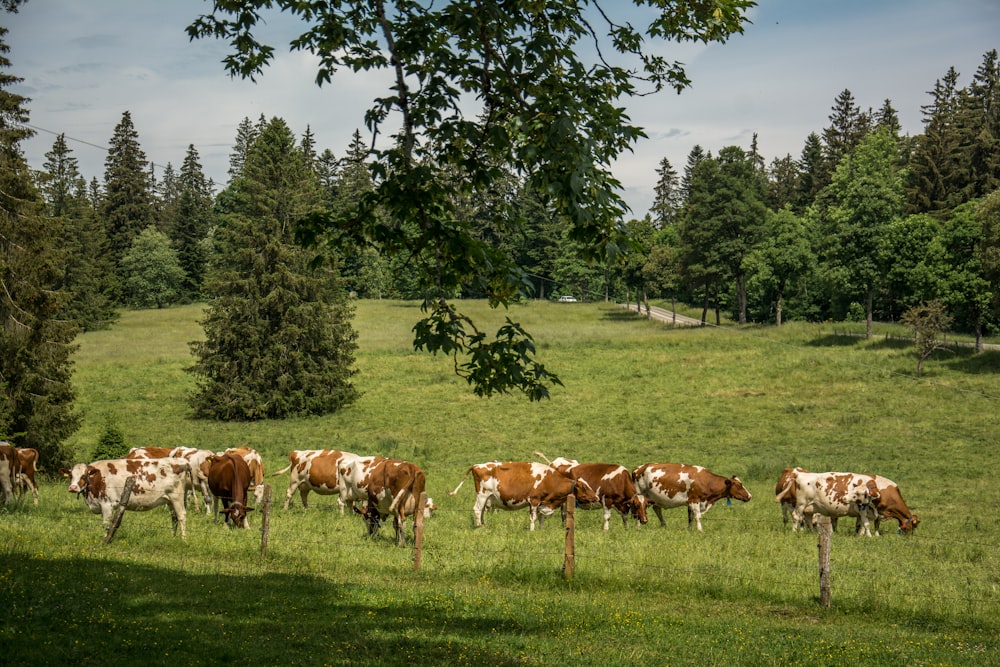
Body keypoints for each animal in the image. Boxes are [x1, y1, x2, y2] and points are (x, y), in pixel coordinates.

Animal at [61, 460, 191, 536]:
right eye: (71, 475)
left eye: (84, 476)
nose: (72, 487)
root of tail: (180, 463)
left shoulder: (106, 505)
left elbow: (106, 524)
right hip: (169, 500)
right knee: (174, 518)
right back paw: (173, 537)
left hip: (176, 497)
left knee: (181, 516)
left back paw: (183, 539)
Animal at [450, 462, 596, 528]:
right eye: (584, 487)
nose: (596, 496)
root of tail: (477, 465)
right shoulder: (534, 500)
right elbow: (533, 518)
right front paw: (532, 531)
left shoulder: (543, 502)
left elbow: (541, 517)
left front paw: (541, 530)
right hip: (482, 494)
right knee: (477, 510)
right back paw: (479, 527)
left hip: (487, 498)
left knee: (481, 512)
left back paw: (483, 525)